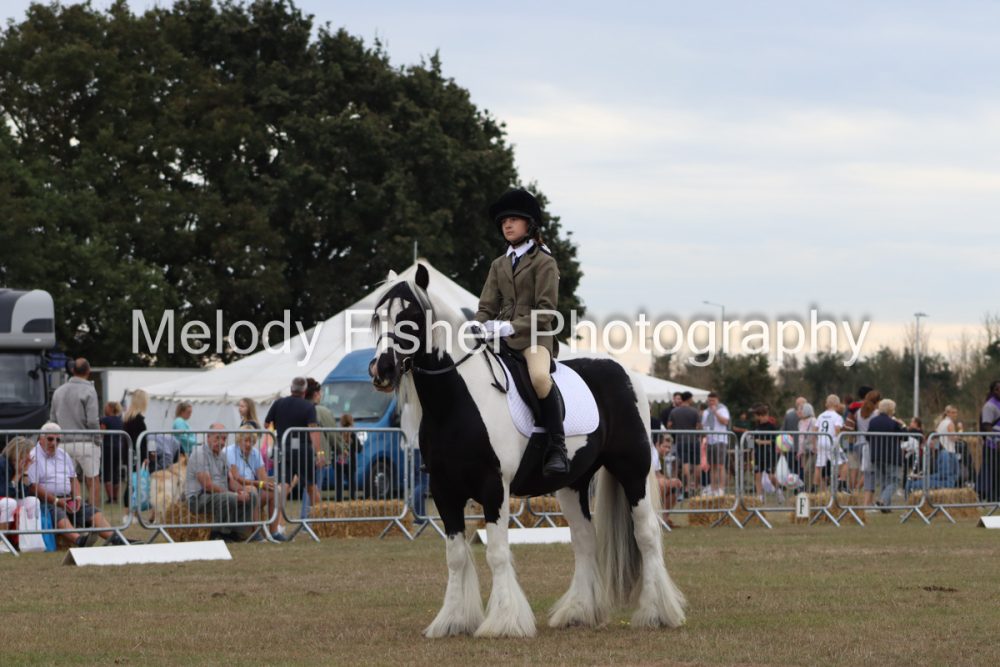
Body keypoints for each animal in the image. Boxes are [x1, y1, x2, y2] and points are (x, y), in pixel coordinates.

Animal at [369, 264, 686, 638]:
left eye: (412, 316)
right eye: (377, 316)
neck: (456, 403)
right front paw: (452, 620)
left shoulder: (494, 487)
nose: (381, 369)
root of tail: (624, 373)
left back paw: (657, 613)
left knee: (646, 534)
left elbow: (496, 553)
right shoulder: (444, 491)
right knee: (584, 540)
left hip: (632, 471)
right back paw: (578, 612)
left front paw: (503, 622)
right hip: (571, 484)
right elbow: (456, 556)